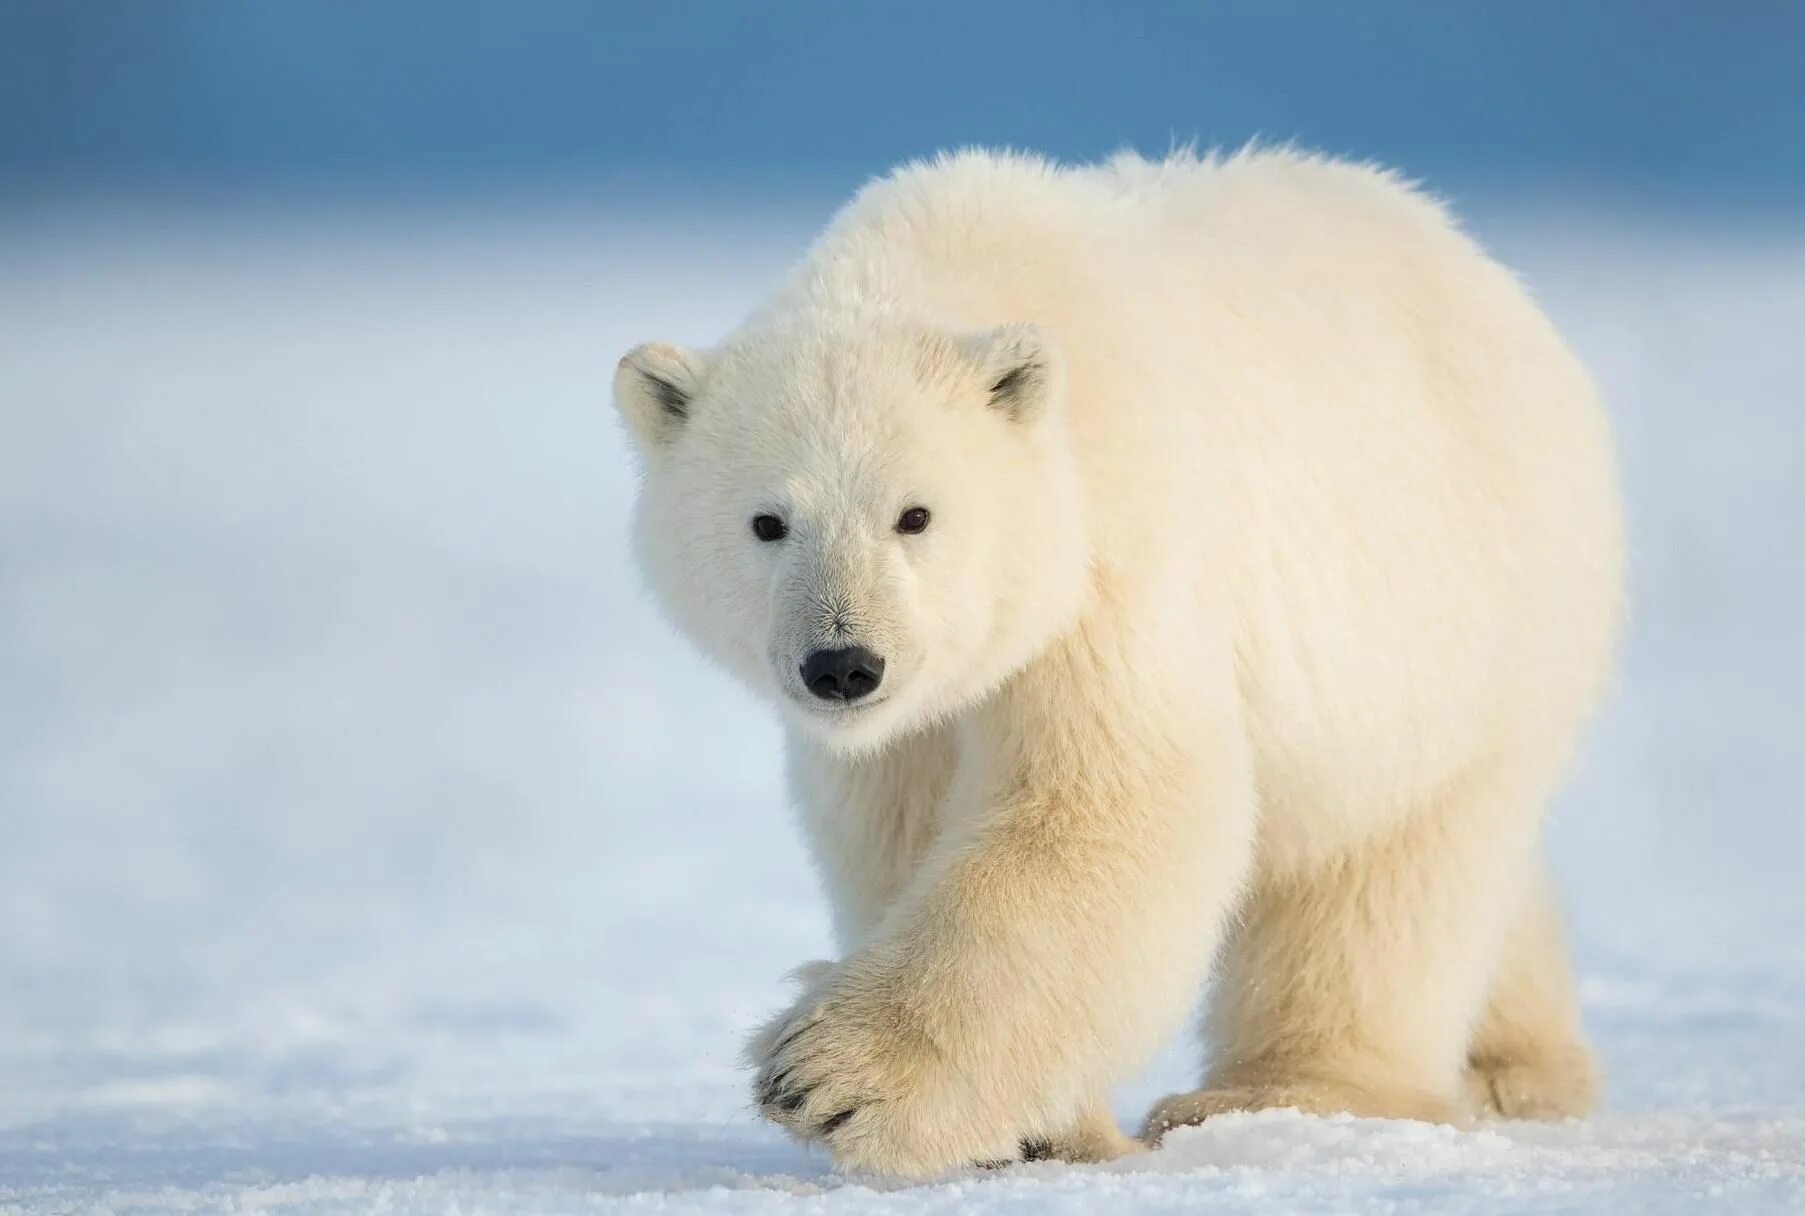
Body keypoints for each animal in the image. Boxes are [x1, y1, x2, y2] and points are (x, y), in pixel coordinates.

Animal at [610, 144, 1624, 1176]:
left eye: (915, 514)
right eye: (767, 522)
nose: (844, 664)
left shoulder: (1115, 562)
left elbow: (1105, 808)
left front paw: (831, 1080)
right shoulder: (910, 725)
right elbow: (900, 836)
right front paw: (1037, 1128)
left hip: (1453, 629)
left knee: (1383, 871)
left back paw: (1284, 1091)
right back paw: (1516, 1064)